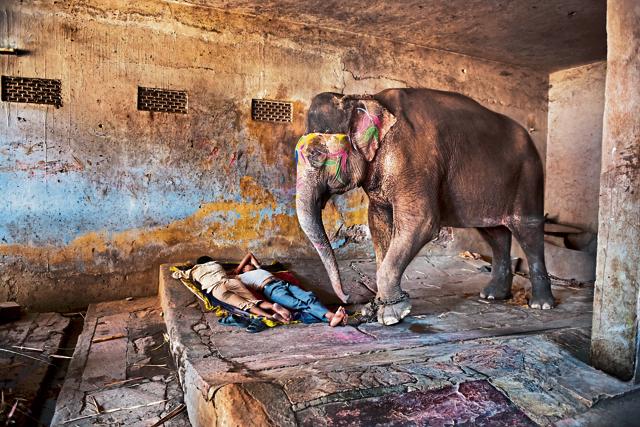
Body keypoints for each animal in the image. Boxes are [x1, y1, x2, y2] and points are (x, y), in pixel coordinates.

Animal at [294, 88, 556, 326]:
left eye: (316, 154)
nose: (347, 299)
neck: (366, 98)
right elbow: (377, 221)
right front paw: (378, 306)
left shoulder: (412, 160)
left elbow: (421, 221)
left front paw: (392, 315)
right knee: (495, 233)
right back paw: (492, 295)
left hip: (529, 175)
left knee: (527, 230)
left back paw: (541, 304)